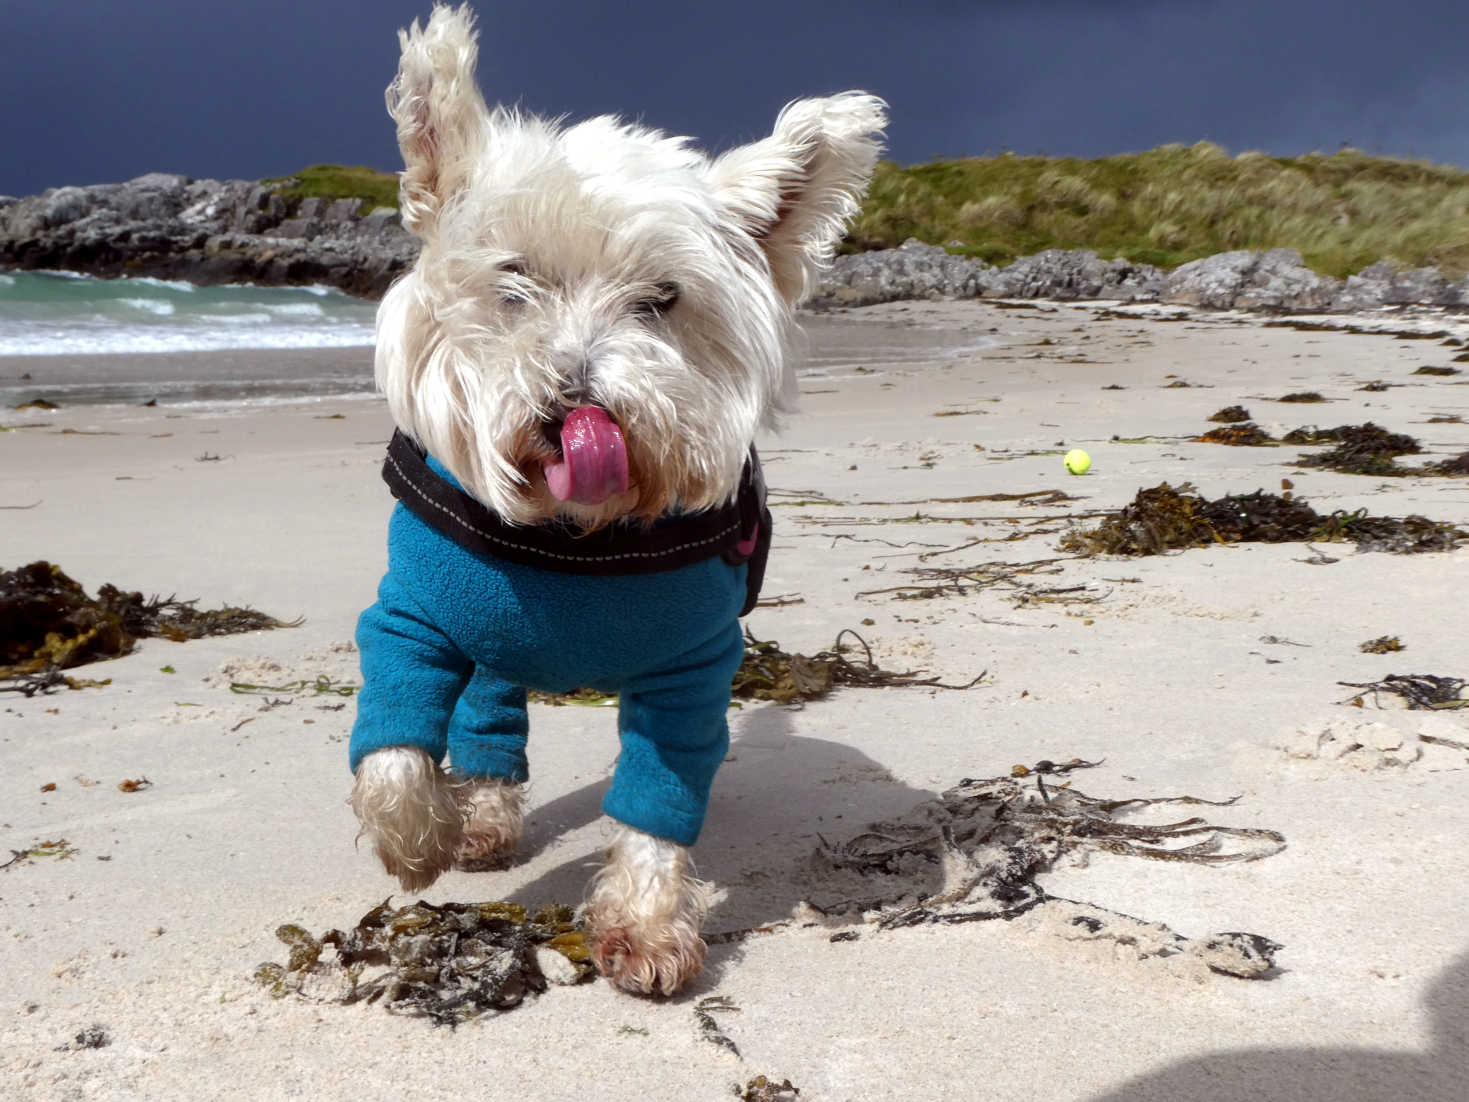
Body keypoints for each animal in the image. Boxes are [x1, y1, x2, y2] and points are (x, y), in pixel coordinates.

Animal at [349, 2, 881, 999]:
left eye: (662, 298)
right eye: (513, 279)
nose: (574, 409)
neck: (577, 543)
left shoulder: (690, 669)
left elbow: (658, 798)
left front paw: (643, 924)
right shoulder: (411, 621)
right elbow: (394, 752)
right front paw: (417, 843)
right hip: (488, 646)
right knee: (487, 718)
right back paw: (480, 819)